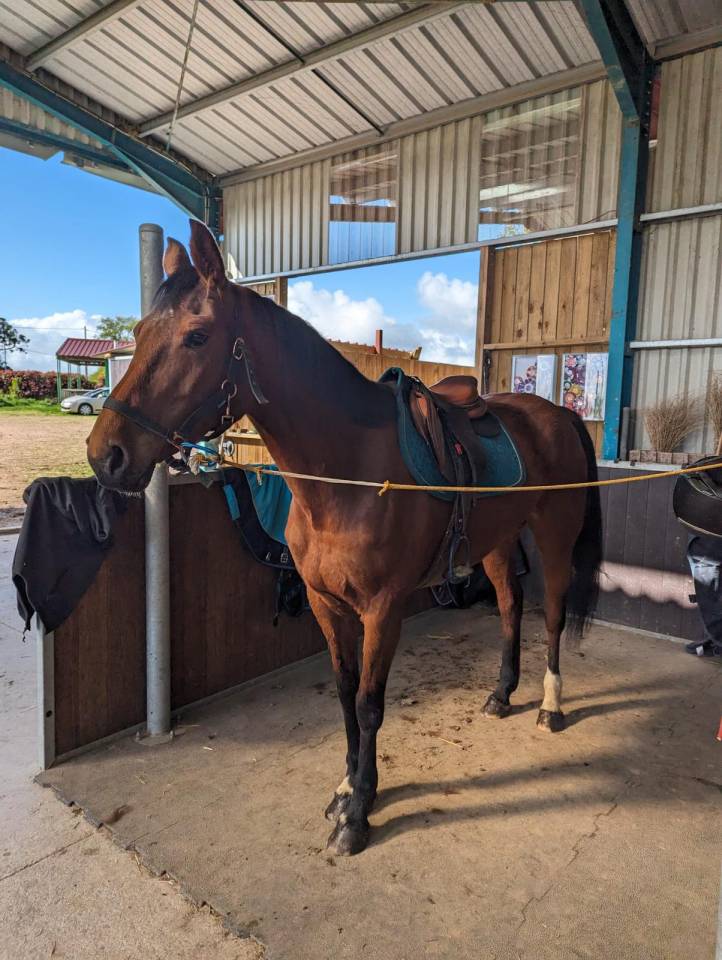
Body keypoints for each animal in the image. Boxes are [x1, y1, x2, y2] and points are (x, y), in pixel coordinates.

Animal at [88, 220, 602, 857]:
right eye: (137, 333)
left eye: (197, 336)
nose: (106, 455)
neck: (346, 474)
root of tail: (556, 413)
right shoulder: (326, 605)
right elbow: (344, 696)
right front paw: (349, 786)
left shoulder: (383, 611)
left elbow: (370, 704)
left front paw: (358, 814)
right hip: (499, 543)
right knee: (509, 608)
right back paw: (501, 695)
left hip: (555, 538)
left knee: (551, 616)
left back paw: (551, 706)